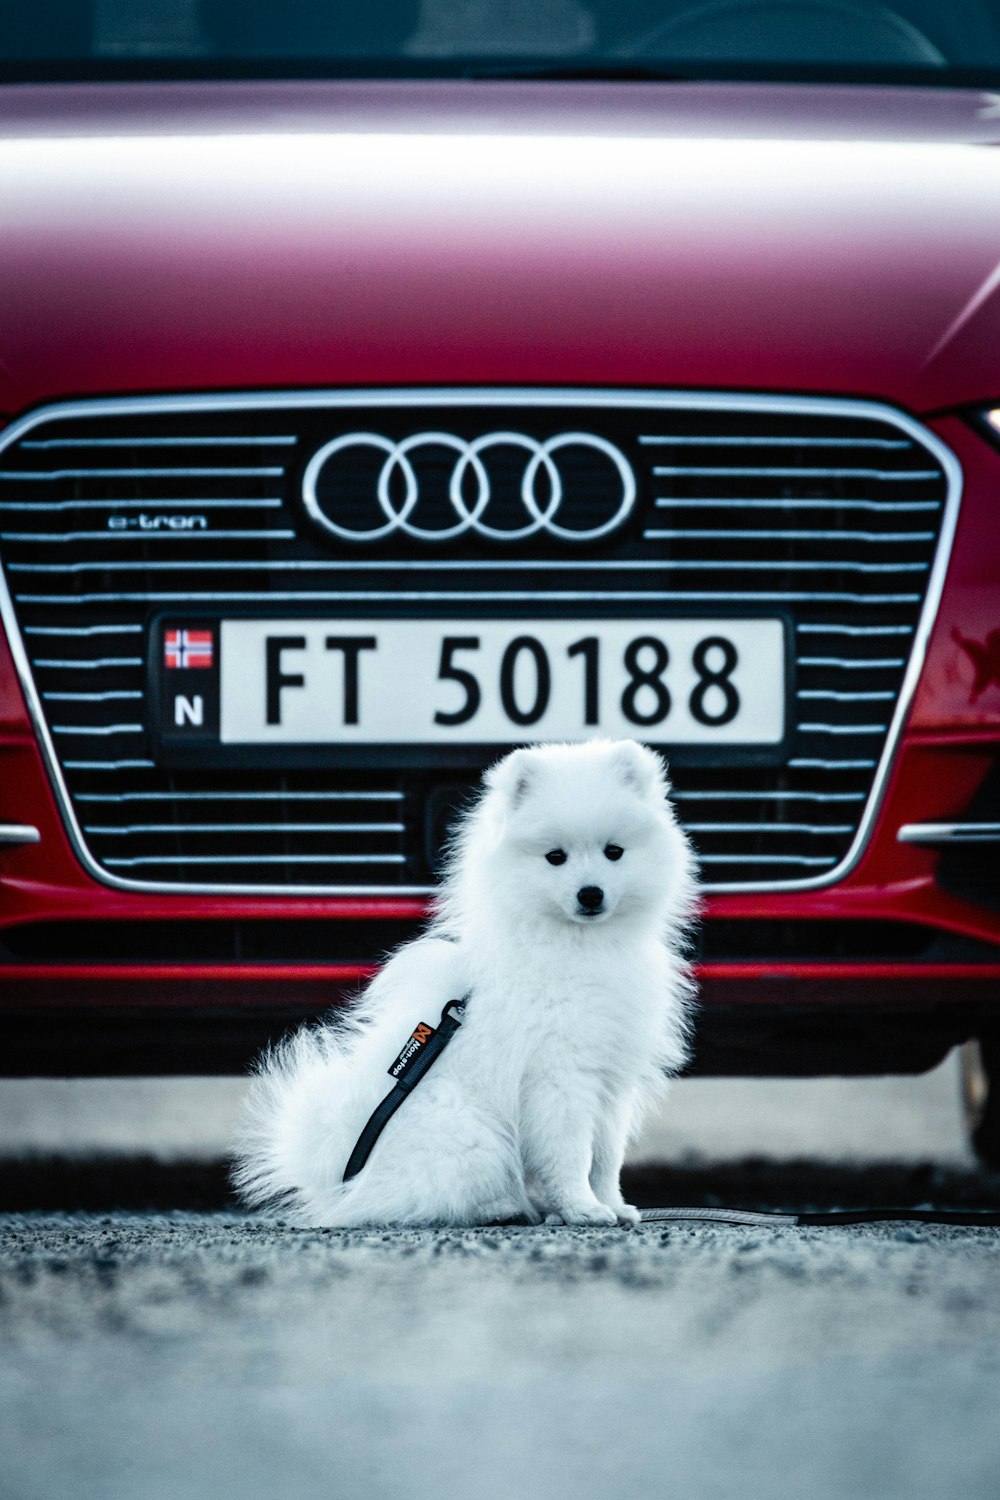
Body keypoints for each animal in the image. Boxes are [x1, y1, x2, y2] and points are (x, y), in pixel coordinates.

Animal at [233, 741, 701, 1230]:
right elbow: (571, 1155)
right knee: (417, 1200)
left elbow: (606, 1157)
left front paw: (612, 1205)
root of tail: (340, 1184)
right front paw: (581, 1209)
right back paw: (501, 1207)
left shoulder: (611, 1081)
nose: (590, 894)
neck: (578, 946)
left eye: (614, 852)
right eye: (555, 857)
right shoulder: (559, 1077)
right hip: (472, 1131)